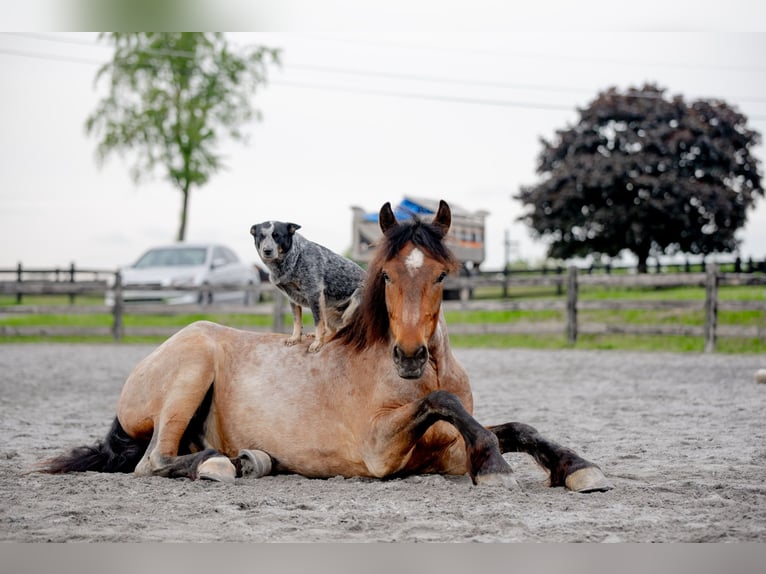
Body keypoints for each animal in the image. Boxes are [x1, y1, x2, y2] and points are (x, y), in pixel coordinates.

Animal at [248, 223, 364, 354]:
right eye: (261, 236)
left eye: (277, 235)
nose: (267, 251)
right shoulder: (292, 297)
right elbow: (297, 321)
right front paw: (295, 338)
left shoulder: (314, 293)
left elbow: (318, 323)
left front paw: (317, 343)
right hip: (327, 307)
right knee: (334, 331)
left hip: (354, 303)